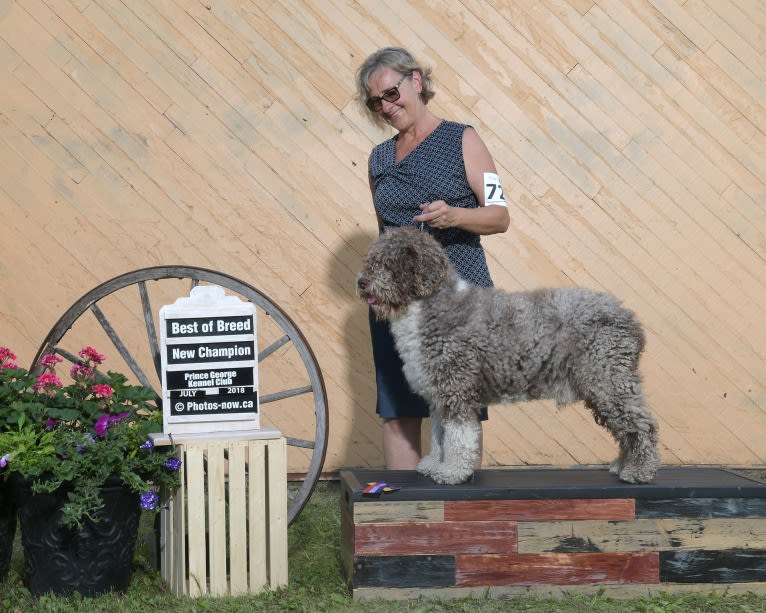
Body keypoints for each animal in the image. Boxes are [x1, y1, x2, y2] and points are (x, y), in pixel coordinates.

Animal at [356, 227, 664, 486]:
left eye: (389, 263)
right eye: (371, 260)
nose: (361, 282)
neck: (430, 306)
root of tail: (628, 318)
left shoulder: (456, 390)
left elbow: (458, 437)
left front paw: (452, 472)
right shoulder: (438, 396)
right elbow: (438, 435)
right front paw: (434, 465)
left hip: (608, 381)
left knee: (641, 426)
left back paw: (640, 471)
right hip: (605, 385)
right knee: (627, 429)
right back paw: (623, 465)